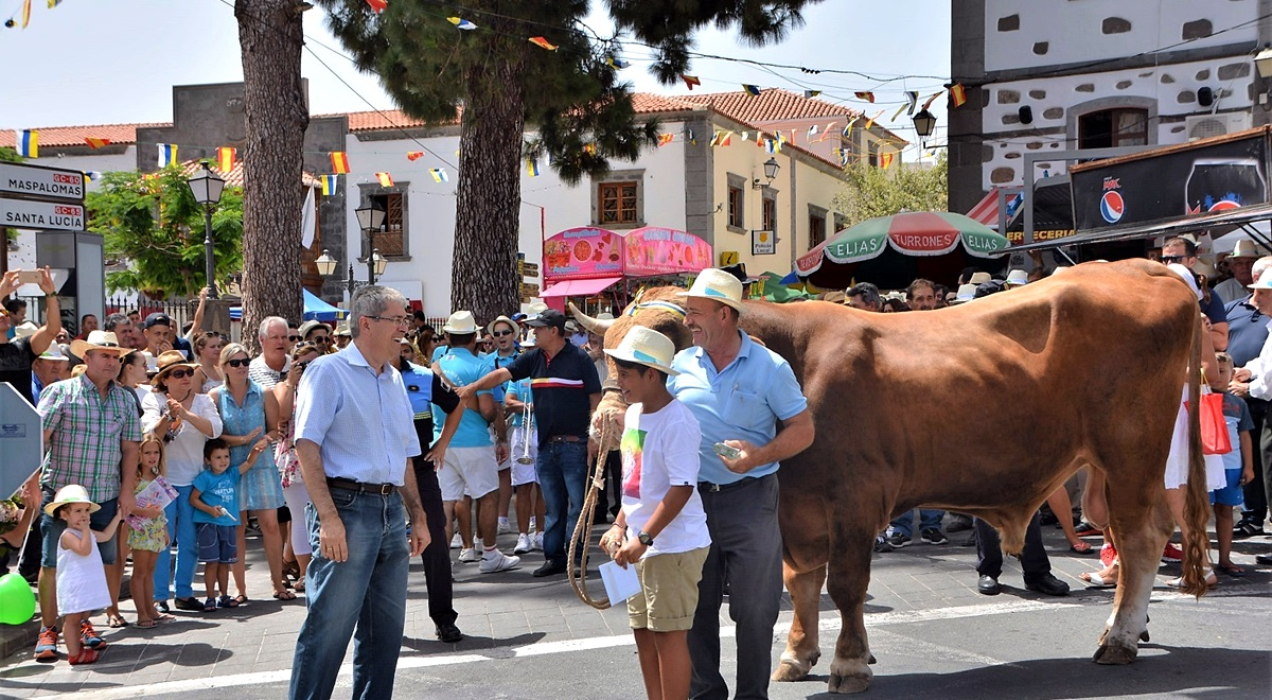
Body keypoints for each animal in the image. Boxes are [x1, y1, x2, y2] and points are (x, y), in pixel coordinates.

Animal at [572, 260, 1205, 697]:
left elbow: (847, 585)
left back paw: (1118, 639)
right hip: (1099, 467)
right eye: (604, 351)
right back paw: (1130, 628)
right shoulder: (795, 507)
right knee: (1126, 535)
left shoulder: (855, 498)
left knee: (1142, 537)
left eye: (651, 355)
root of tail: (1142, 266)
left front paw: (850, 662)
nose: (605, 425)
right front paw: (798, 654)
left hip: (1133, 450)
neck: (794, 356)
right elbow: (802, 582)